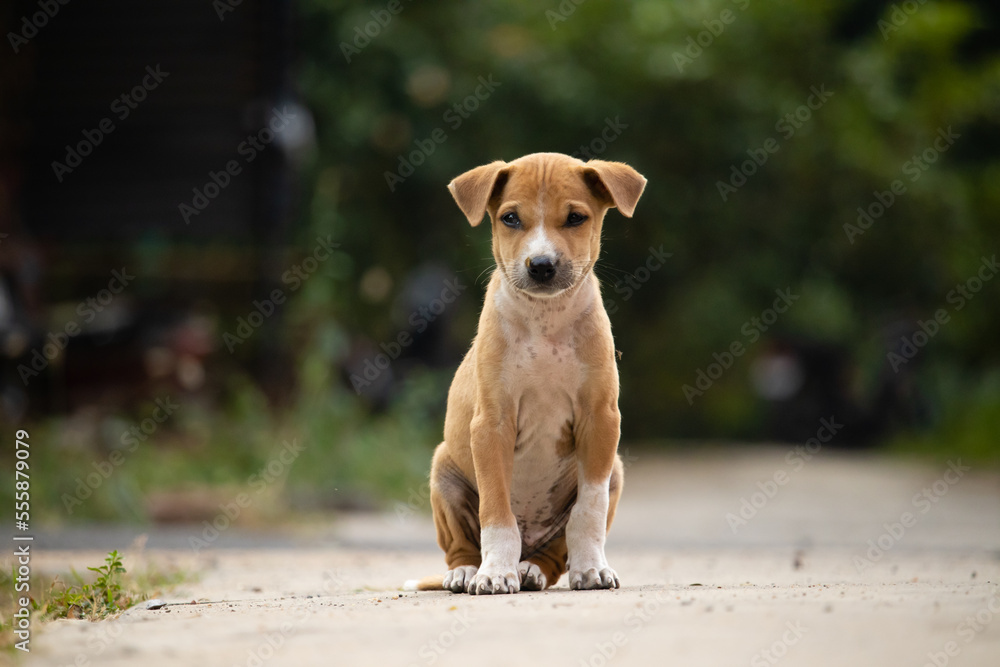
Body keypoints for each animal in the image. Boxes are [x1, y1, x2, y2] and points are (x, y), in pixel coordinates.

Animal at [418, 151, 644, 596]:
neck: (544, 320)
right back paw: (469, 571)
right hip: (444, 472)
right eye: (510, 218)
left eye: (575, 218)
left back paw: (531, 570)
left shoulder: (600, 420)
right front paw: (494, 573)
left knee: (553, 554)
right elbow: (496, 513)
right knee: (462, 544)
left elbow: (588, 510)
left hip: (615, 472)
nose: (541, 265)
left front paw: (592, 568)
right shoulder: (491, 424)